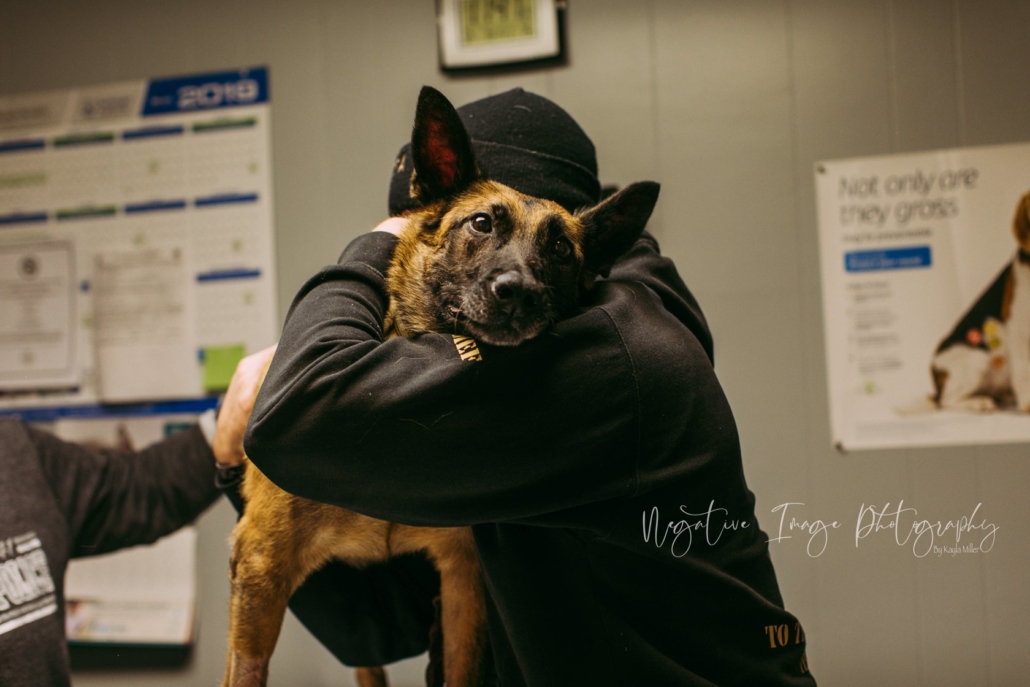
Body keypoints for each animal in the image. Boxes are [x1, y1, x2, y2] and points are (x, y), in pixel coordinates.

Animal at [223, 87, 659, 687]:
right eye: (480, 223)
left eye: (561, 250)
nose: (520, 292)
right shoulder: (262, 568)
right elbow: (246, 670)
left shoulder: (462, 581)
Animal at [931, 190, 1030, 411]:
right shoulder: (1019, 329)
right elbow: (1024, 372)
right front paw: (1027, 404)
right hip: (977, 358)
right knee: (946, 401)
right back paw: (979, 402)